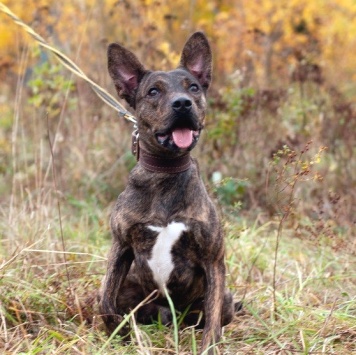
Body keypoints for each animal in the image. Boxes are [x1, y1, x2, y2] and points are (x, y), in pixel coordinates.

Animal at [98, 31, 235, 355]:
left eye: (193, 87)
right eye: (153, 92)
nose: (182, 104)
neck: (165, 174)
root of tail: (170, 316)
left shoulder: (213, 259)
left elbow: (212, 320)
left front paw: (208, 346)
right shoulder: (120, 247)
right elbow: (106, 302)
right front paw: (122, 334)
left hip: (226, 297)